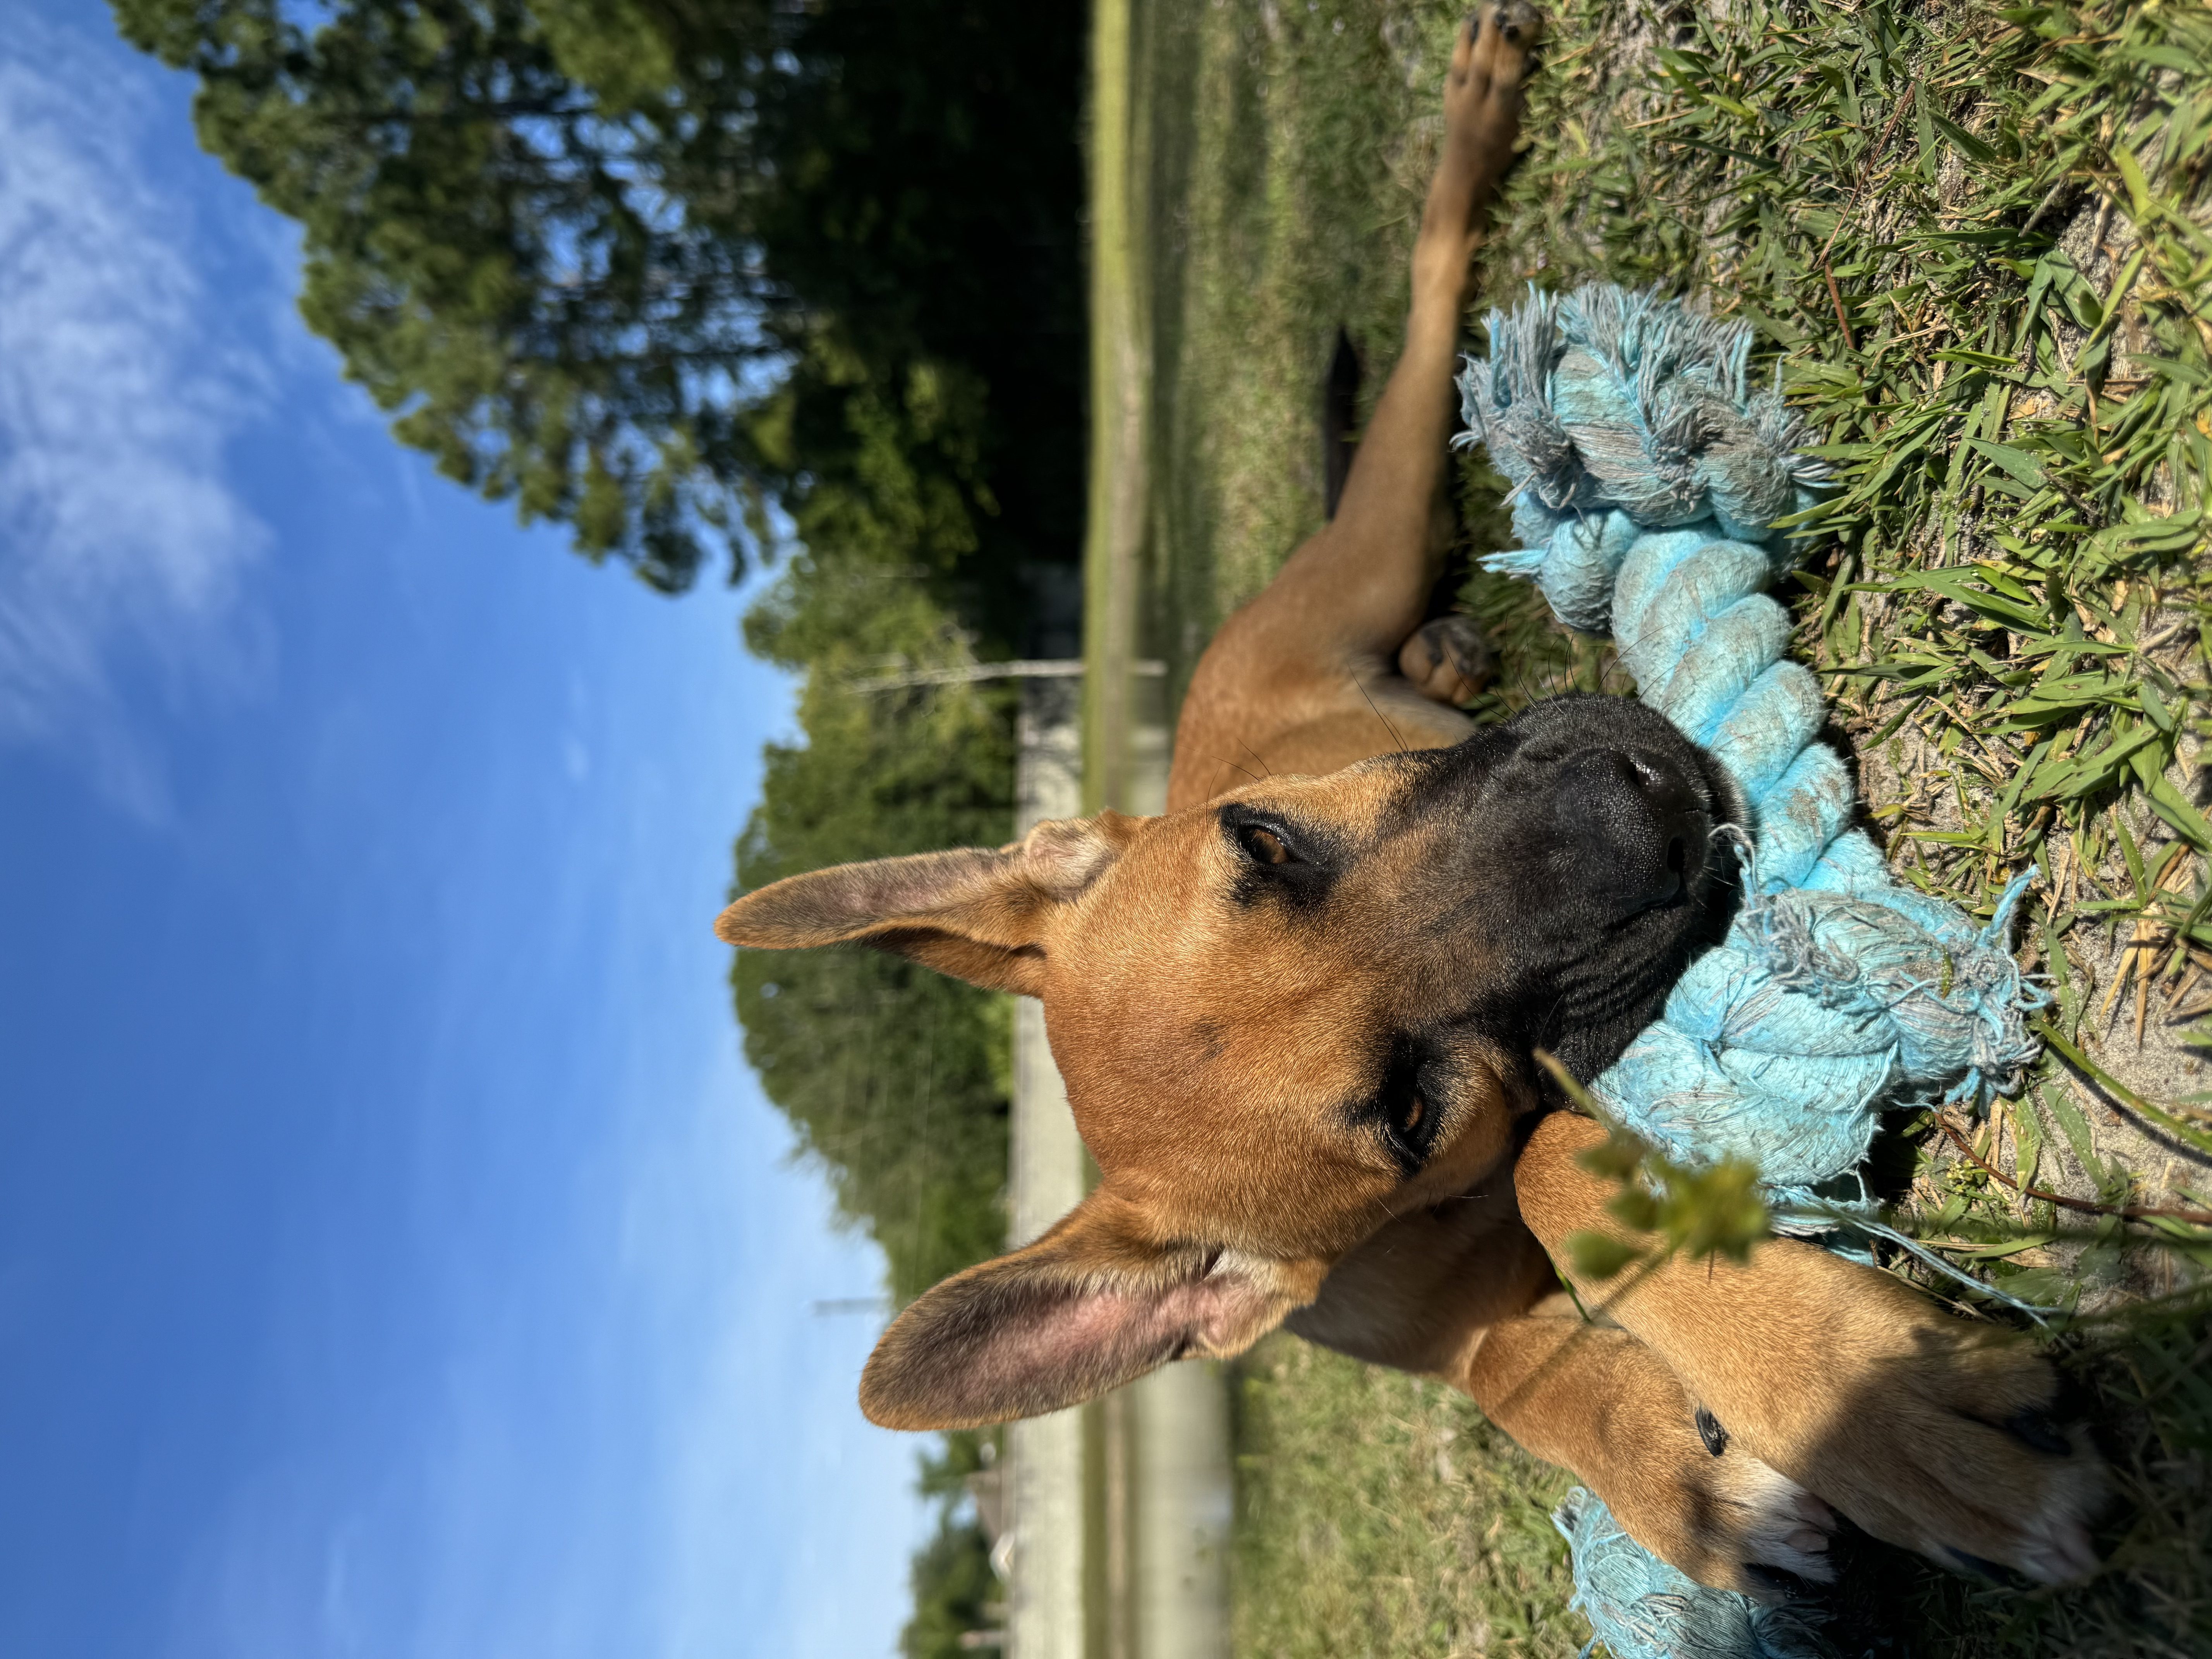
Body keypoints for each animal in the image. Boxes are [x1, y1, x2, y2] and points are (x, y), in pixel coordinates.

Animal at [716, 6, 2097, 1601]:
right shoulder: (1453, 1310)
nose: (1647, 800)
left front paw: (1862, 1397)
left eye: (1263, 841)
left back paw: (1472, 122)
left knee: (1427, 326)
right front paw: (1726, 1455)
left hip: (1368, 542)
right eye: (1405, 1115)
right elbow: (1525, 1334)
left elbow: (1561, 1165)